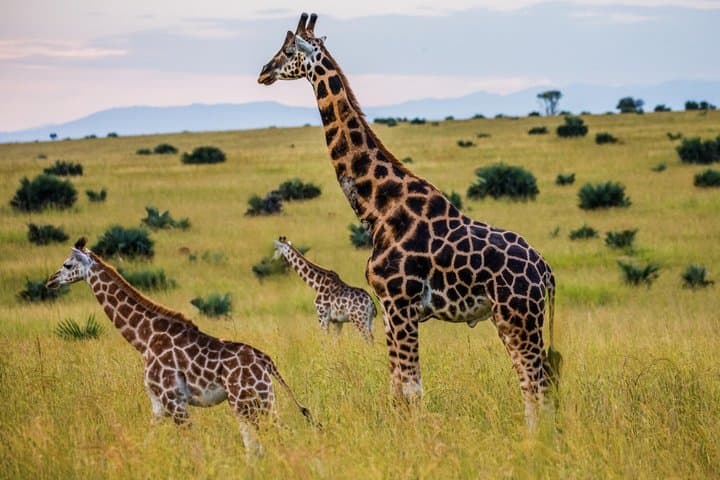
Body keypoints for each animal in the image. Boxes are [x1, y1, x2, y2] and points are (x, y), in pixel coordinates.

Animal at [46, 238, 316, 452]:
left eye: (67, 264)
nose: (50, 281)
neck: (144, 339)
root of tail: (265, 360)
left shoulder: (174, 400)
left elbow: (194, 446)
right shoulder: (158, 405)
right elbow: (148, 441)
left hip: (247, 401)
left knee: (279, 435)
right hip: (256, 400)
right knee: (258, 445)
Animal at [258, 13, 562, 428]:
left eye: (289, 50)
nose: (263, 72)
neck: (379, 209)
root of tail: (546, 272)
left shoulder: (402, 304)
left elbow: (413, 390)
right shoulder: (388, 309)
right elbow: (396, 390)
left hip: (518, 316)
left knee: (536, 382)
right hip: (513, 319)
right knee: (533, 381)